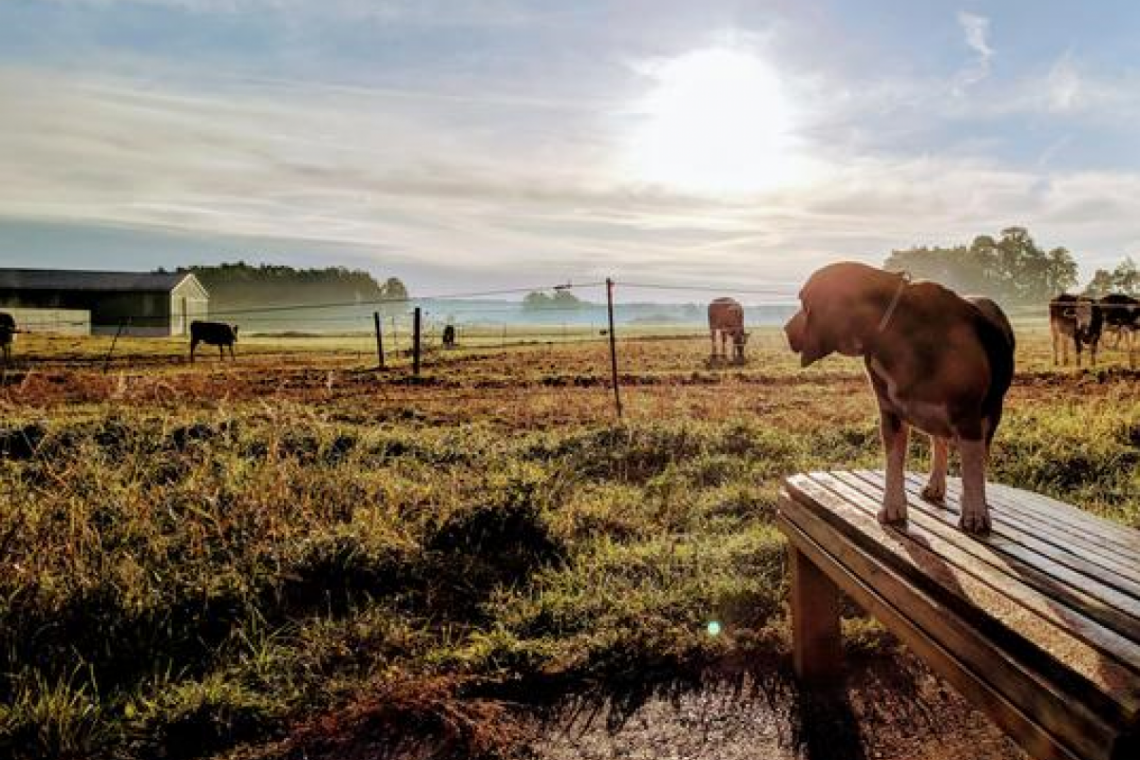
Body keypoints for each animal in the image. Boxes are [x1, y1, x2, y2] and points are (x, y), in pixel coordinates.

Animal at [784, 262, 1016, 535]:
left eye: (804, 301)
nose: (785, 330)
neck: (896, 333)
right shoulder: (890, 414)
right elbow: (893, 465)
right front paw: (893, 507)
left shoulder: (968, 417)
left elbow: (972, 471)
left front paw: (975, 512)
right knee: (939, 444)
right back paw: (936, 484)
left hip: (989, 415)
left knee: (979, 458)